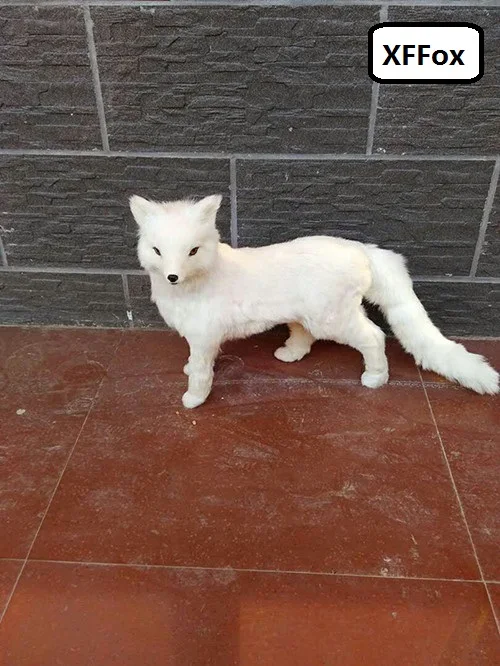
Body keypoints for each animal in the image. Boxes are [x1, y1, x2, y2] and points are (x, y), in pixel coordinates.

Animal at [130, 193, 499, 409]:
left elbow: (201, 372)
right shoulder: (201, 338)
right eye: (157, 251)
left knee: (374, 337)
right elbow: (196, 362)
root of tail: (360, 248)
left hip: (332, 320)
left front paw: (194, 398)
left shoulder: (205, 336)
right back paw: (290, 354)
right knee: (304, 337)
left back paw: (376, 377)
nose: (172, 276)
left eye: (192, 251)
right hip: (307, 315)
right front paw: (189, 370)